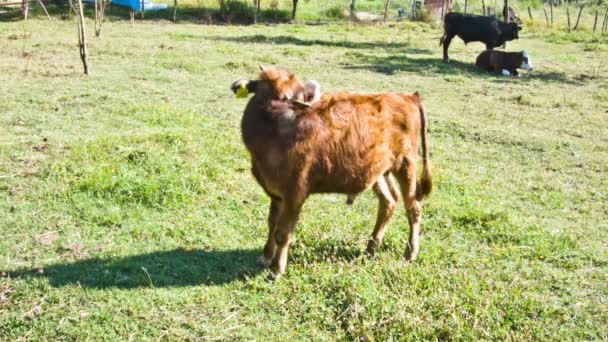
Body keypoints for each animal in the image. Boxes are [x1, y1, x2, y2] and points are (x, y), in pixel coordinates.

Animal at [229, 66, 432, 278]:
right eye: (261, 90)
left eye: (291, 98)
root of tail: (408, 97)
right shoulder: (275, 191)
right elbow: (272, 222)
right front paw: (266, 257)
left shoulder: (295, 193)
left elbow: (283, 232)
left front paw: (277, 269)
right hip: (380, 171)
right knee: (389, 201)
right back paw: (371, 248)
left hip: (406, 164)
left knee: (413, 207)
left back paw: (410, 252)